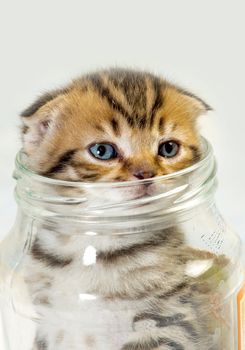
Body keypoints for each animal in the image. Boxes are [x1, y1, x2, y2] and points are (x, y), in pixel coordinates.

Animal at [20, 69, 225, 350]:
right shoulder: (49, 321)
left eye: (168, 148)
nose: (146, 173)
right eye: (102, 151)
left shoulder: (172, 318)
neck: (94, 245)